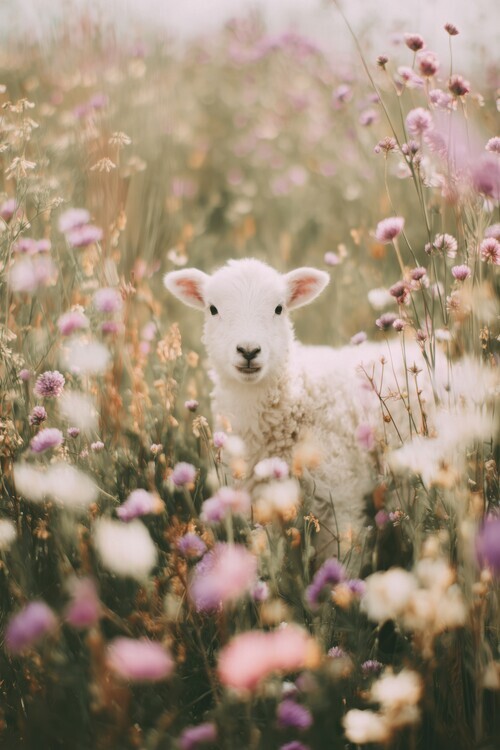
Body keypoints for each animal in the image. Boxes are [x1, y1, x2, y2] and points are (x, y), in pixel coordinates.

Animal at [164, 258, 433, 561]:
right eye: (213, 309)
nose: (248, 350)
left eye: (279, 308)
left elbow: (339, 558)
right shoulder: (261, 501)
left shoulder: (340, 496)